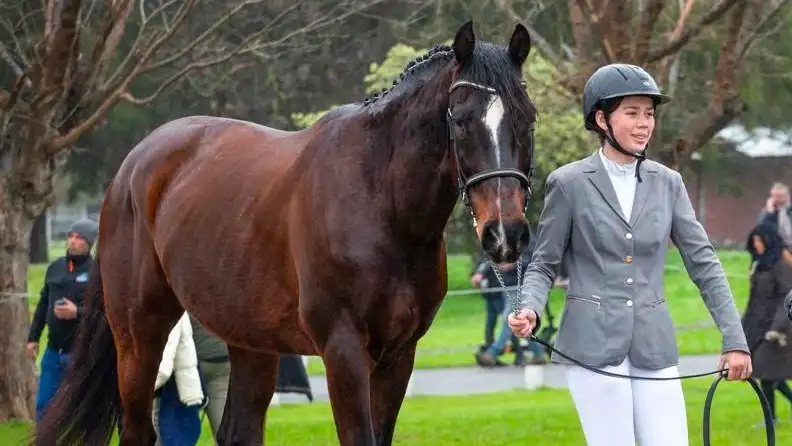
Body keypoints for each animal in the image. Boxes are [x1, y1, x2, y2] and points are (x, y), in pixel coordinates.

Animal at [35, 20, 538, 446]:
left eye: (528, 118)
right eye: (460, 120)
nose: (505, 234)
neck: (379, 204)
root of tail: (130, 167)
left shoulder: (399, 355)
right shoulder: (344, 352)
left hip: (250, 342)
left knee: (238, 430)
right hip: (139, 335)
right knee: (139, 428)